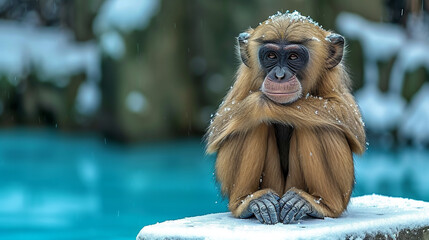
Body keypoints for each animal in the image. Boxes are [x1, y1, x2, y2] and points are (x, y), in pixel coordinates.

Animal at [205, 10, 364, 225]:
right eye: (271, 56)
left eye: (293, 56)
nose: (279, 75)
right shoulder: (246, 77)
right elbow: (221, 123)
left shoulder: (331, 78)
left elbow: (349, 119)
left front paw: (261, 104)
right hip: (273, 187)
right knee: (250, 126)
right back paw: (248, 202)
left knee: (319, 126)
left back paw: (321, 205)